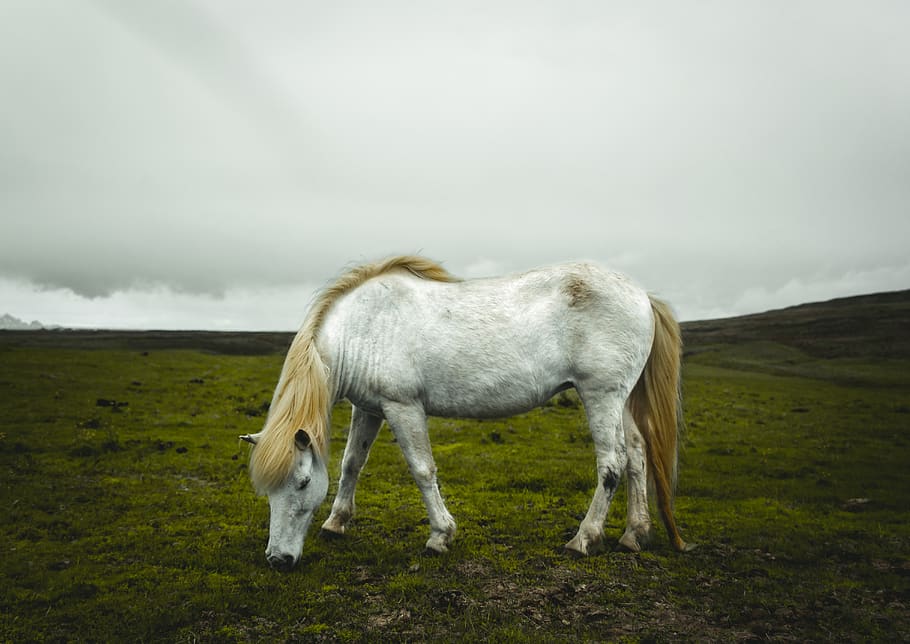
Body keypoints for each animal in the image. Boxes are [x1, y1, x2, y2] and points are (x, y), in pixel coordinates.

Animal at [239, 255, 688, 568]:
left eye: (300, 483)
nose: (278, 560)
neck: (363, 327)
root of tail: (643, 296)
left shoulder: (403, 408)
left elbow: (422, 470)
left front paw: (441, 536)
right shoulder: (368, 409)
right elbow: (352, 464)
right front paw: (336, 523)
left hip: (601, 395)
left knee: (612, 464)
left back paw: (584, 539)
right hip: (621, 400)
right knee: (636, 456)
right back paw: (634, 534)